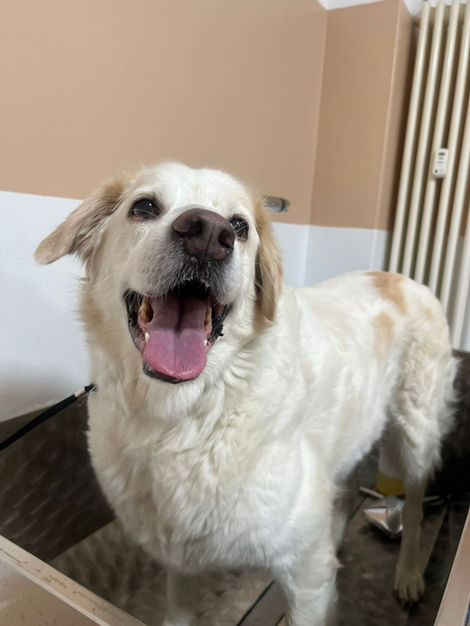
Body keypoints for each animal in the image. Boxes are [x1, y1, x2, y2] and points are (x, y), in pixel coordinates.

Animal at [36, 162, 456, 625]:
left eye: (239, 226)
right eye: (143, 207)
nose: (207, 234)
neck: (185, 418)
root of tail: (400, 277)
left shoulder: (305, 573)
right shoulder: (181, 558)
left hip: (416, 431)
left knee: (414, 506)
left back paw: (409, 574)